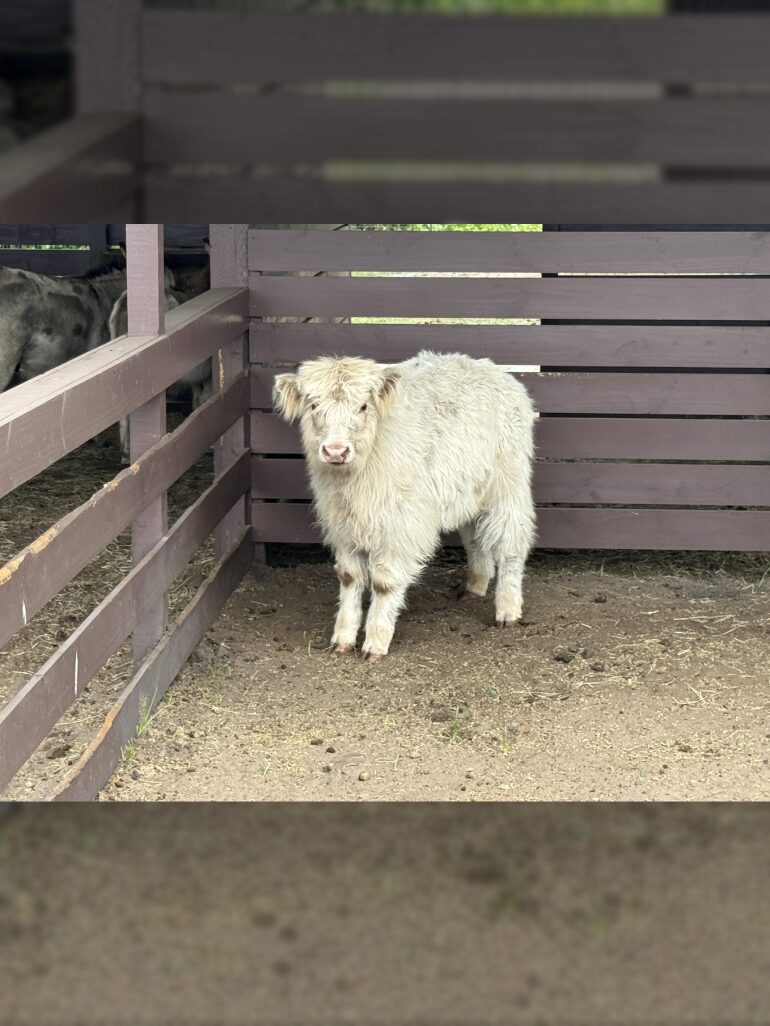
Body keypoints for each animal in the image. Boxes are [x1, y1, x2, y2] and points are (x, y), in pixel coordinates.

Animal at [273, 351, 536, 663]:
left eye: (363, 406)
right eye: (314, 404)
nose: (336, 451)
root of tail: (494, 370)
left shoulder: (399, 527)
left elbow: (384, 582)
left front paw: (375, 642)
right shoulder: (343, 526)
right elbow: (349, 577)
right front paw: (343, 638)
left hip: (508, 487)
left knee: (512, 545)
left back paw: (507, 609)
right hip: (470, 490)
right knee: (474, 538)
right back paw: (475, 586)